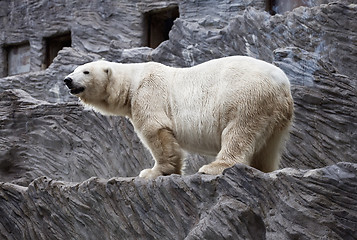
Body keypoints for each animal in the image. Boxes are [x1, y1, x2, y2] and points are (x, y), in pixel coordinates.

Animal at [63, 56, 292, 179]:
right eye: (74, 70)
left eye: (85, 72)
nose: (67, 80)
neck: (133, 81)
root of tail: (282, 82)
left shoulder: (149, 92)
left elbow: (155, 129)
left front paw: (153, 171)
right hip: (276, 114)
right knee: (269, 145)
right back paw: (263, 168)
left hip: (245, 95)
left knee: (238, 131)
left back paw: (214, 167)